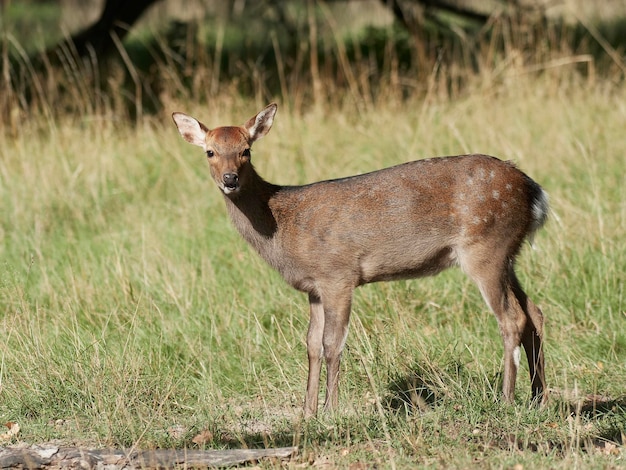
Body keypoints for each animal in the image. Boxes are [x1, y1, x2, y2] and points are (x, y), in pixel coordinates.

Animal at [172, 103, 544, 414]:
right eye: (210, 152)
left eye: (246, 150)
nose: (230, 179)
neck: (281, 226)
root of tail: (533, 191)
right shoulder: (314, 287)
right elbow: (311, 344)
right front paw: (307, 412)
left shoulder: (338, 274)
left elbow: (332, 343)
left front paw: (330, 411)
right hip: (508, 254)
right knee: (534, 312)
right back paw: (537, 396)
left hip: (485, 247)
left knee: (512, 317)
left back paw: (507, 399)